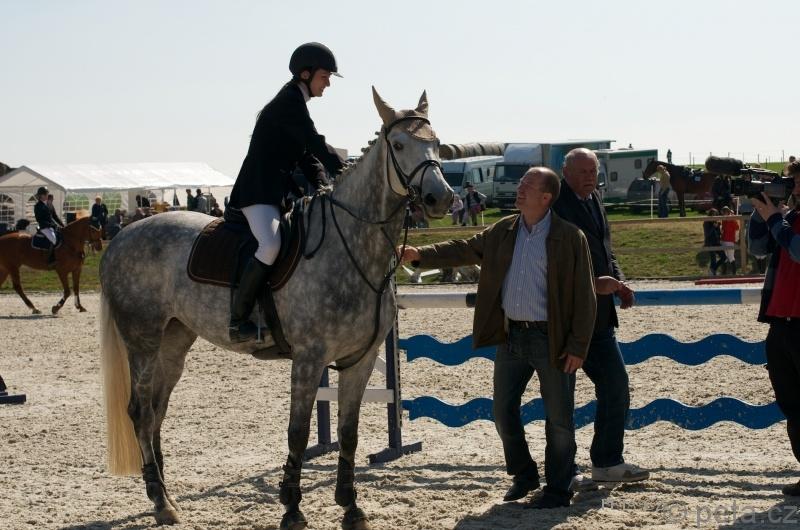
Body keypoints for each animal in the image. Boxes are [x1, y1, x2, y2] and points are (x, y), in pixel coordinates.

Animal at [100, 88, 453, 529]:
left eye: (437, 142)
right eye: (400, 145)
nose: (441, 198)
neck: (352, 245)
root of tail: (121, 236)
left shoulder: (360, 359)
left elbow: (349, 431)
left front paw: (350, 506)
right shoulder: (309, 358)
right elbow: (297, 432)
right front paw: (292, 508)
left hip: (175, 341)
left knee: (157, 410)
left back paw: (164, 494)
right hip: (143, 340)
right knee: (141, 413)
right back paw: (160, 502)